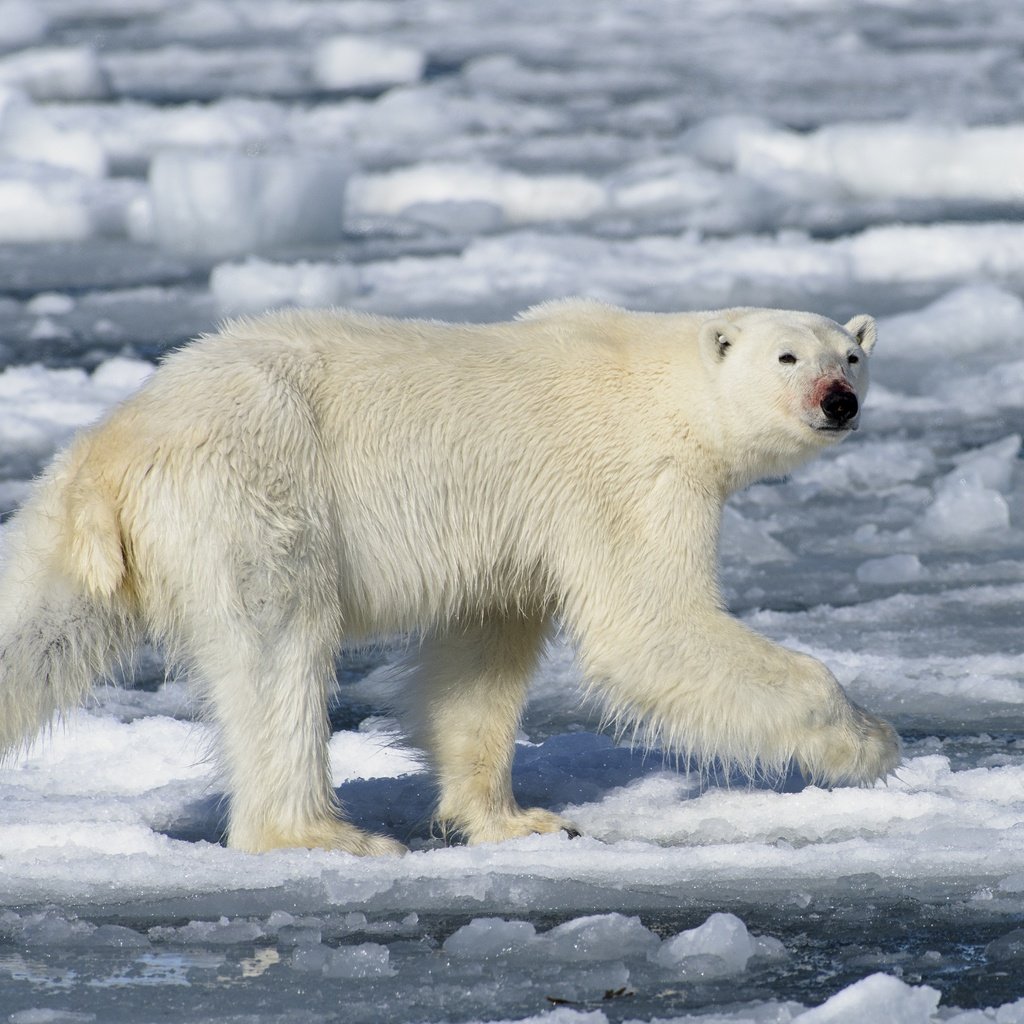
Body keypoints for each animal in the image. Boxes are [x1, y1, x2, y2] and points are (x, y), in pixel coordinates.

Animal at [0, 299, 897, 851]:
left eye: (852, 355)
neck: (658, 380)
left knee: (32, 633)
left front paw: (517, 819)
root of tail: (118, 442)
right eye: (787, 355)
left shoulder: (514, 538)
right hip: (256, 490)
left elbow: (480, 660)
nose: (837, 399)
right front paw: (868, 742)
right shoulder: (628, 476)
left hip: (73, 535)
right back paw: (323, 833)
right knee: (278, 646)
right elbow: (648, 628)